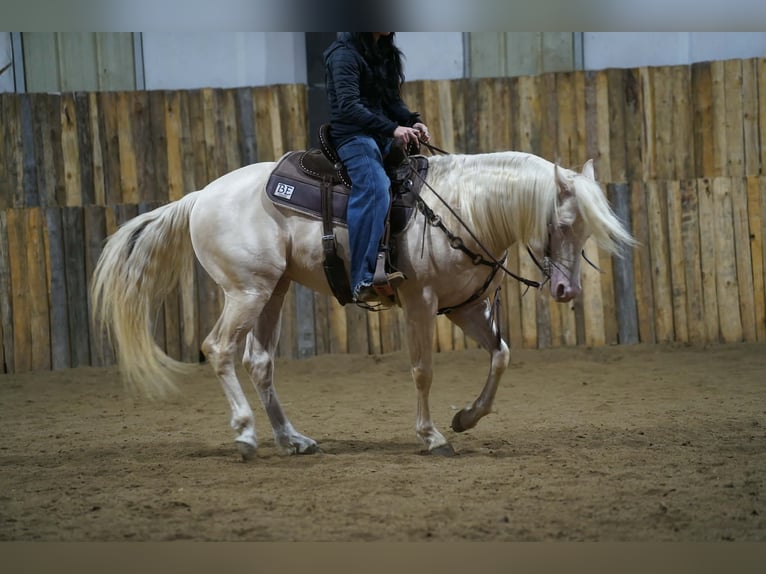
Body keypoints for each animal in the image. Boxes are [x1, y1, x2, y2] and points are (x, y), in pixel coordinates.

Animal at [91, 149, 634, 459]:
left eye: (586, 229)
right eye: (562, 223)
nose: (567, 292)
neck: (464, 205)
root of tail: (202, 195)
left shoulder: (464, 306)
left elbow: (501, 356)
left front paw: (466, 418)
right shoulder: (420, 302)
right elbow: (422, 370)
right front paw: (432, 436)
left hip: (273, 291)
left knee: (260, 362)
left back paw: (292, 440)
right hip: (246, 292)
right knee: (219, 349)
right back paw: (245, 436)